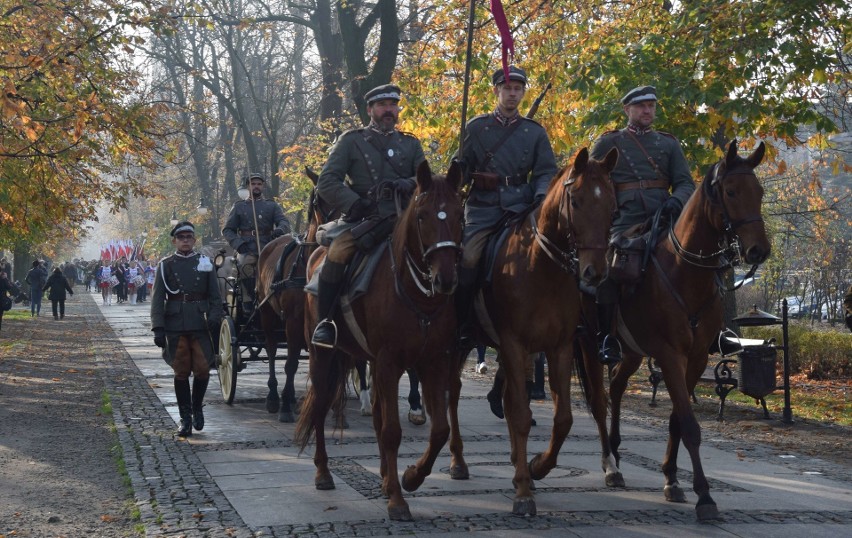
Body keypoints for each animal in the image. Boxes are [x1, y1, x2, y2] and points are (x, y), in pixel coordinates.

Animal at [294, 160, 466, 520]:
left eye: (460, 214)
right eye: (422, 216)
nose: (445, 279)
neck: (417, 295)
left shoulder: (433, 362)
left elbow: (439, 429)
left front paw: (410, 477)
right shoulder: (388, 362)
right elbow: (391, 431)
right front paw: (398, 501)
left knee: (373, 413)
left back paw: (387, 478)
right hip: (322, 357)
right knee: (319, 407)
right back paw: (323, 472)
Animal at [446, 147, 620, 516]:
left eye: (613, 205)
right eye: (576, 201)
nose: (594, 273)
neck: (541, 266)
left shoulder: (559, 347)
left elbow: (562, 417)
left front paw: (537, 467)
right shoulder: (513, 344)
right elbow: (522, 415)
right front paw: (524, 490)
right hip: (459, 343)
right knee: (453, 393)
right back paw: (458, 461)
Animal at [604, 139, 772, 520]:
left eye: (759, 191)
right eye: (730, 191)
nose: (759, 250)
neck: (685, 271)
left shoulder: (695, 359)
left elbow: (678, 420)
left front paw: (672, 479)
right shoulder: (669, 356)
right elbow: (690, 425)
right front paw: (705, 496)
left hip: (632, 351)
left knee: (616, 387)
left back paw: (617, 458)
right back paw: (608, 463)